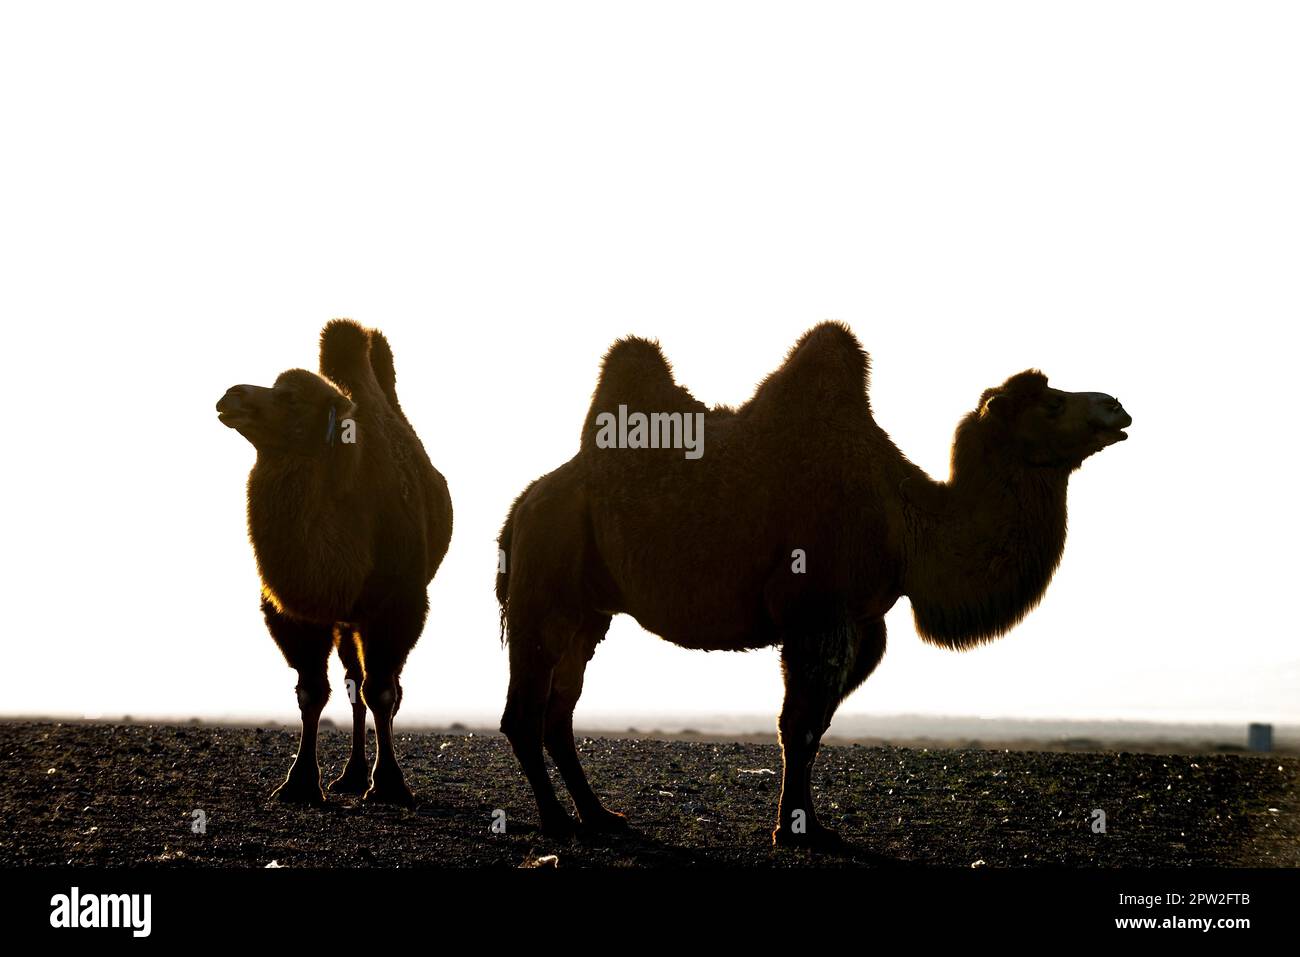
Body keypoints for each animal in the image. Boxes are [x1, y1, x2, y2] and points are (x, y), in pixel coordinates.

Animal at [218, 321, 452, 806]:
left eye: (291, 398)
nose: (231, 395)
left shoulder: (399, 606)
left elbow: (382, 690)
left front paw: (390, 785)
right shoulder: (293, 612)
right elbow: (311, 692)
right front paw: (300, 783)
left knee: (376, 686)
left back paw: (364, 775)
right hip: (347, 622)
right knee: (351, 684)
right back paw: (351, 775)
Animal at [496, 321, 1128, 842]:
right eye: (1051, 405)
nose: (1116, 405)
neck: (907, 521)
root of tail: (522, 504)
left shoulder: (865, 622)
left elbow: (815, 726)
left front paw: (808, 823)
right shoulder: (818, 608)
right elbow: (797, 726)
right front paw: (796, 831)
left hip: (588, 610)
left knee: (559, 709)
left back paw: (600, 815)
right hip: (542, 588)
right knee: (525, 711)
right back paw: (558, 822)